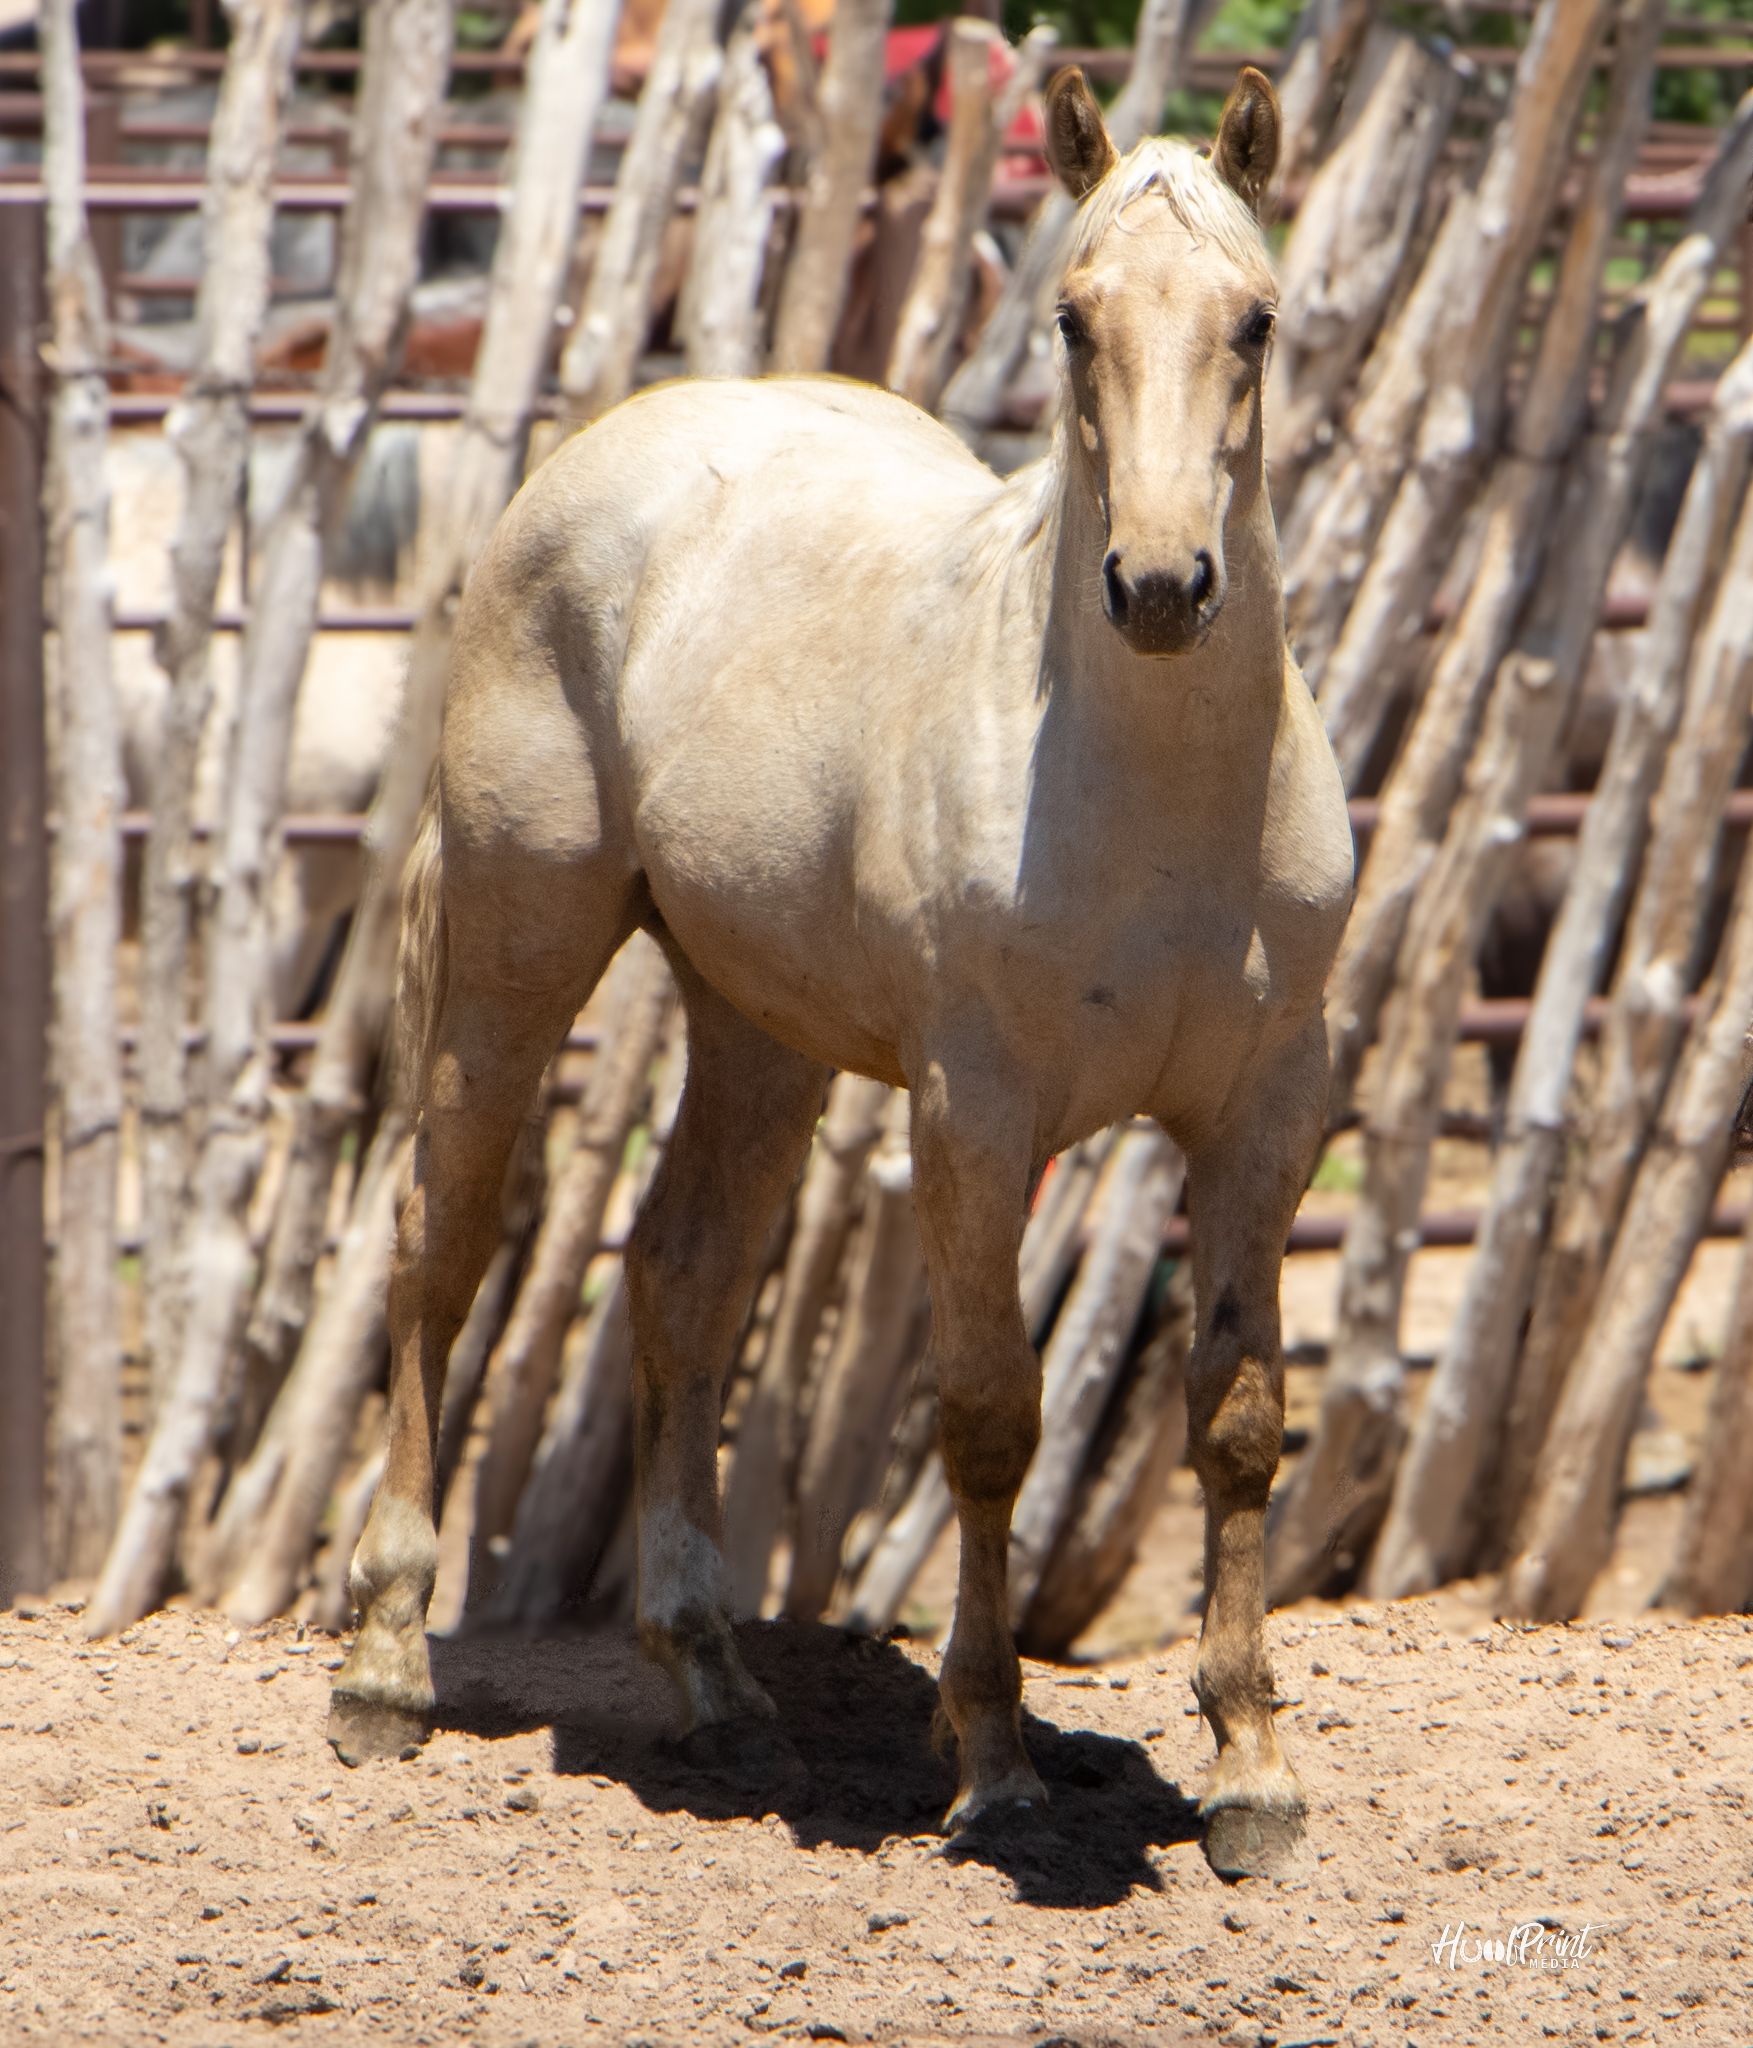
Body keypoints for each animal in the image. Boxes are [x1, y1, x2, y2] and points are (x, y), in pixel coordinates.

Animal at [328, 63, 1355, 1881]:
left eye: (1253, 318)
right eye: (1076, 319)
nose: (1162, 586)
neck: (1149, 806)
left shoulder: (1264, 1110)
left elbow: (1235, 1420)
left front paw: (1249, 1771)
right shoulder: (973, 1116)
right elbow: (990, 1420)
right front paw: (994, 1766)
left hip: (758, 1028)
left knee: (681, 1272)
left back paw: (715, 1685)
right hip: (519, 957)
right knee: (437, 1249)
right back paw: (385, 1667)